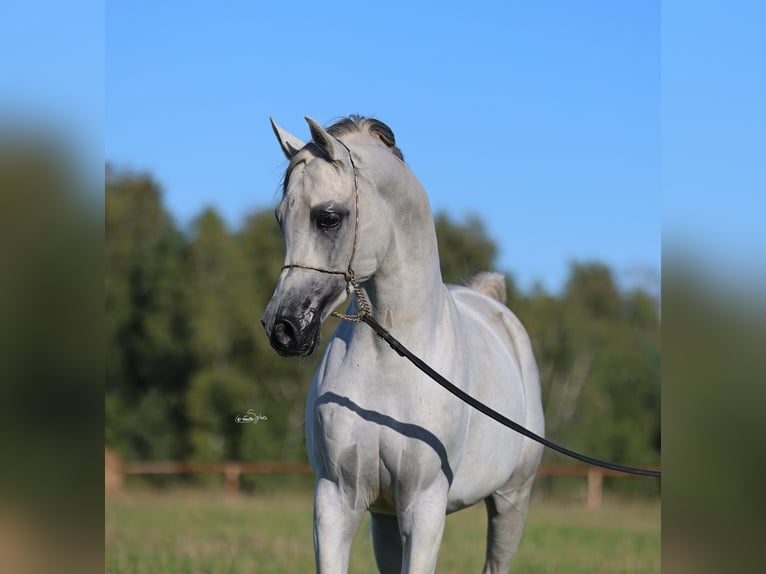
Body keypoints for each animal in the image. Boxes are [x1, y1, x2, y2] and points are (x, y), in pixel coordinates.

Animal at [261, 115, 544, 573]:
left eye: (328, 218)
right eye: (280, 218)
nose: (282, 327)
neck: (388, 364)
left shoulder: (423, 507)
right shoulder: (337, 500)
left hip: (510, 501)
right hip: (385, 519)